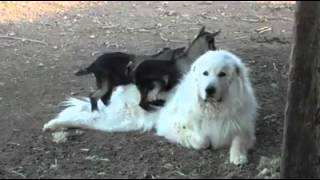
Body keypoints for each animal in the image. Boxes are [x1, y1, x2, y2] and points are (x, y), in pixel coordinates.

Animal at [43, 50, 258, 165]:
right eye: (205, 73)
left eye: (222, 74)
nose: (209, 90)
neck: (213, 109)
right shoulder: (171, 125)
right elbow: (202, 140)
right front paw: (202, 142)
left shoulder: (243, 127)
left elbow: (238, 139)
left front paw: (238, 156)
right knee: (82, 117)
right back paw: (52, 125)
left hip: (118, 123)